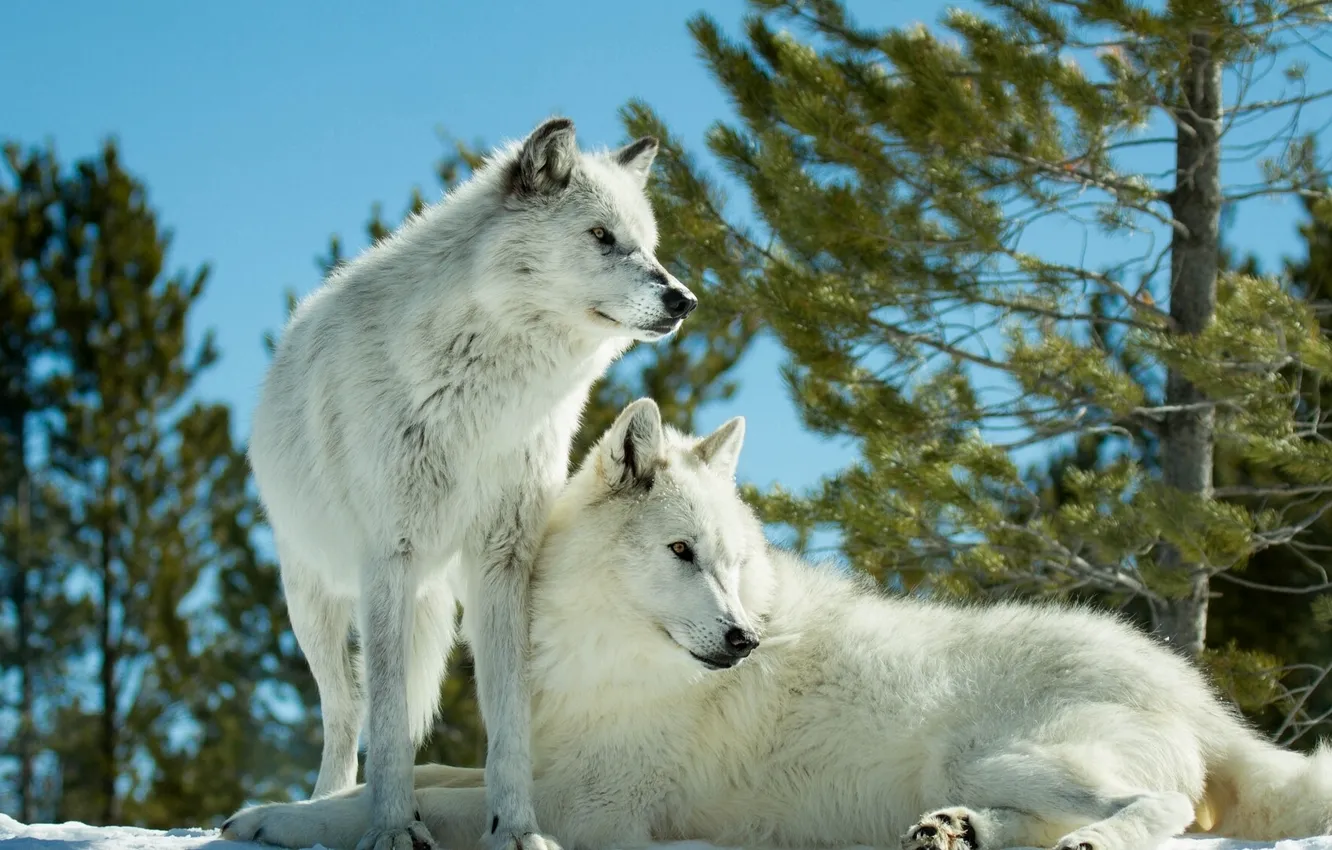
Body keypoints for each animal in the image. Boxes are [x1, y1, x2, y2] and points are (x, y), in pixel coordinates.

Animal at [226, 402, 1332, 850]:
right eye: (684, 553)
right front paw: (284, 809)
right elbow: (428, 775)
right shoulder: (536, 760)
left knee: (1162, 811)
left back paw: (1081, 842)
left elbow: (441, 803)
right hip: (982, 767)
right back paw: (953, 834)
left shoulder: (594, 809)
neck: (600, 659)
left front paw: (283, 821)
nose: (743, 640)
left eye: (732, 560)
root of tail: (1197, 693)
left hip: (1013, 752)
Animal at [241, 118, 697, 850]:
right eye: (602, 235)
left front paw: (516, 829)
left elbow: (507, 719)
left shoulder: (504, 561)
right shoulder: (389, 559)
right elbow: (387, 725)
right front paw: (393, 830)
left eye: (649, 245)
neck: (487, 396)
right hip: (314, 600)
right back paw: (323, 806)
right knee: (347, 713)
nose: (683, 299)